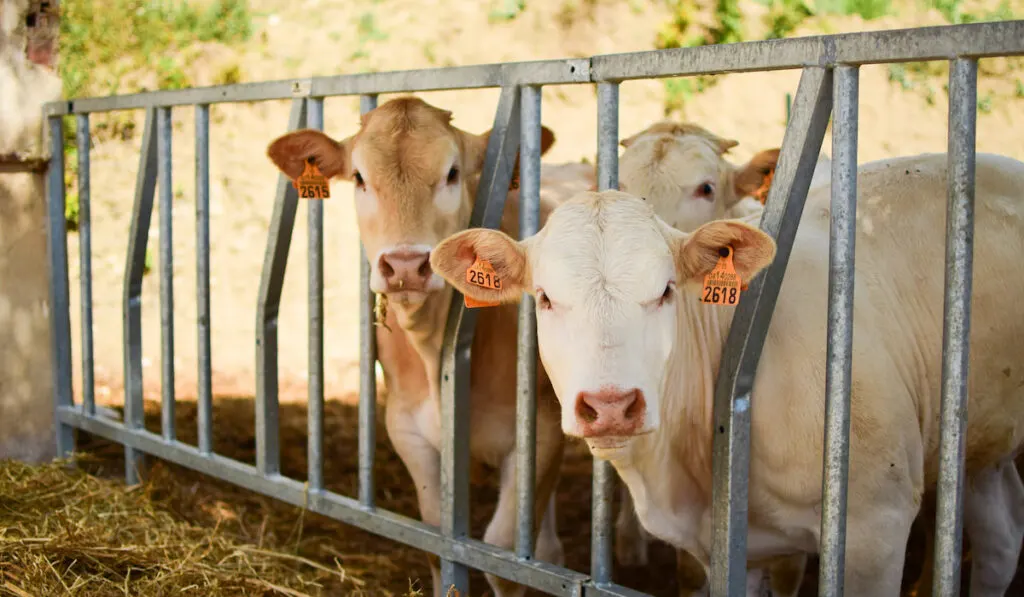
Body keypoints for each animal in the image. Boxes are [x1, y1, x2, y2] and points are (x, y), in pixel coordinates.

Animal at [268, 96, 598, 597]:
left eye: (453, 173)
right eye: (359, 177)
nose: (405, 265)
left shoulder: (540, 432)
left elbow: (503, 551)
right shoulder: (407, 428)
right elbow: (434, 535)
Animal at [428, 151, 1024, 593]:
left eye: (666, 291)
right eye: (546, 297)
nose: (611, 405)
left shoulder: (876, 523)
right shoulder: (736, 550)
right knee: (1001, 535)